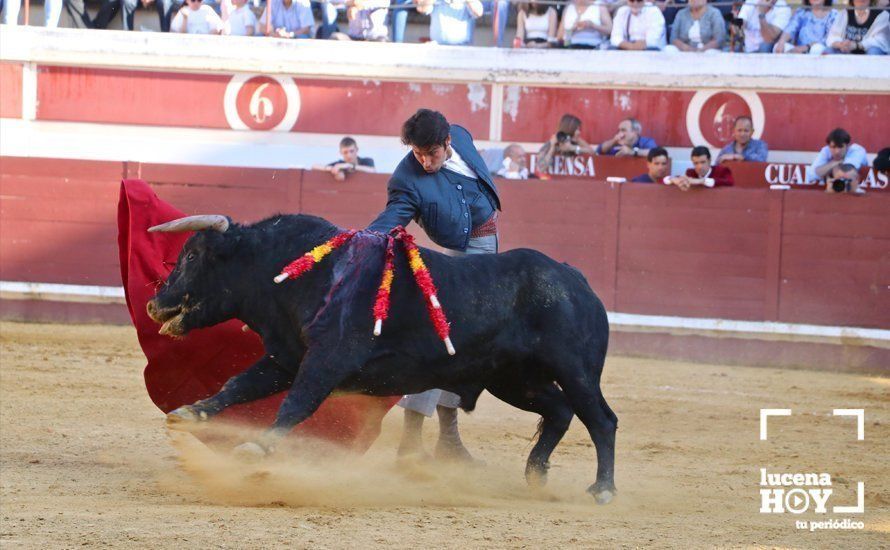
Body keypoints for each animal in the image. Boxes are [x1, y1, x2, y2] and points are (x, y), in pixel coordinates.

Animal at [147, 213, 616, 506]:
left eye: (193, 256)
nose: (155, 304)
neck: (299, 273)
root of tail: (573, 278)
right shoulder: (286, 358)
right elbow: (239, 384)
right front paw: (191, 413)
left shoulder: (327, 359)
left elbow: (296, 403)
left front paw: (257, 448)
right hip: (514, 380)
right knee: (559, 411)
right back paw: (536, 475)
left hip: (576, 371)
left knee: (600, 419)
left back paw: (603, 490)